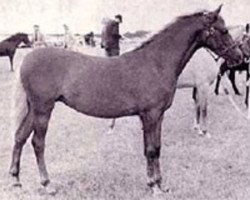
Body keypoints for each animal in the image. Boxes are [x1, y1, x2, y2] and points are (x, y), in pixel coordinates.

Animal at [9, 5, 242, 195]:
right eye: (223, 30)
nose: (239, 56)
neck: (156, 63)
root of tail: (27, 59)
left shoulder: (158, 116)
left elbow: (156, 148)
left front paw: (159, 184)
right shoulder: (150, 115)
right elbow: (150, 150)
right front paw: (153, 186)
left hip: (33, 109)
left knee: (20, 136)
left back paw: (15, 180)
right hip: (43, 109)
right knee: (37, 143)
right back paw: (47, 184)